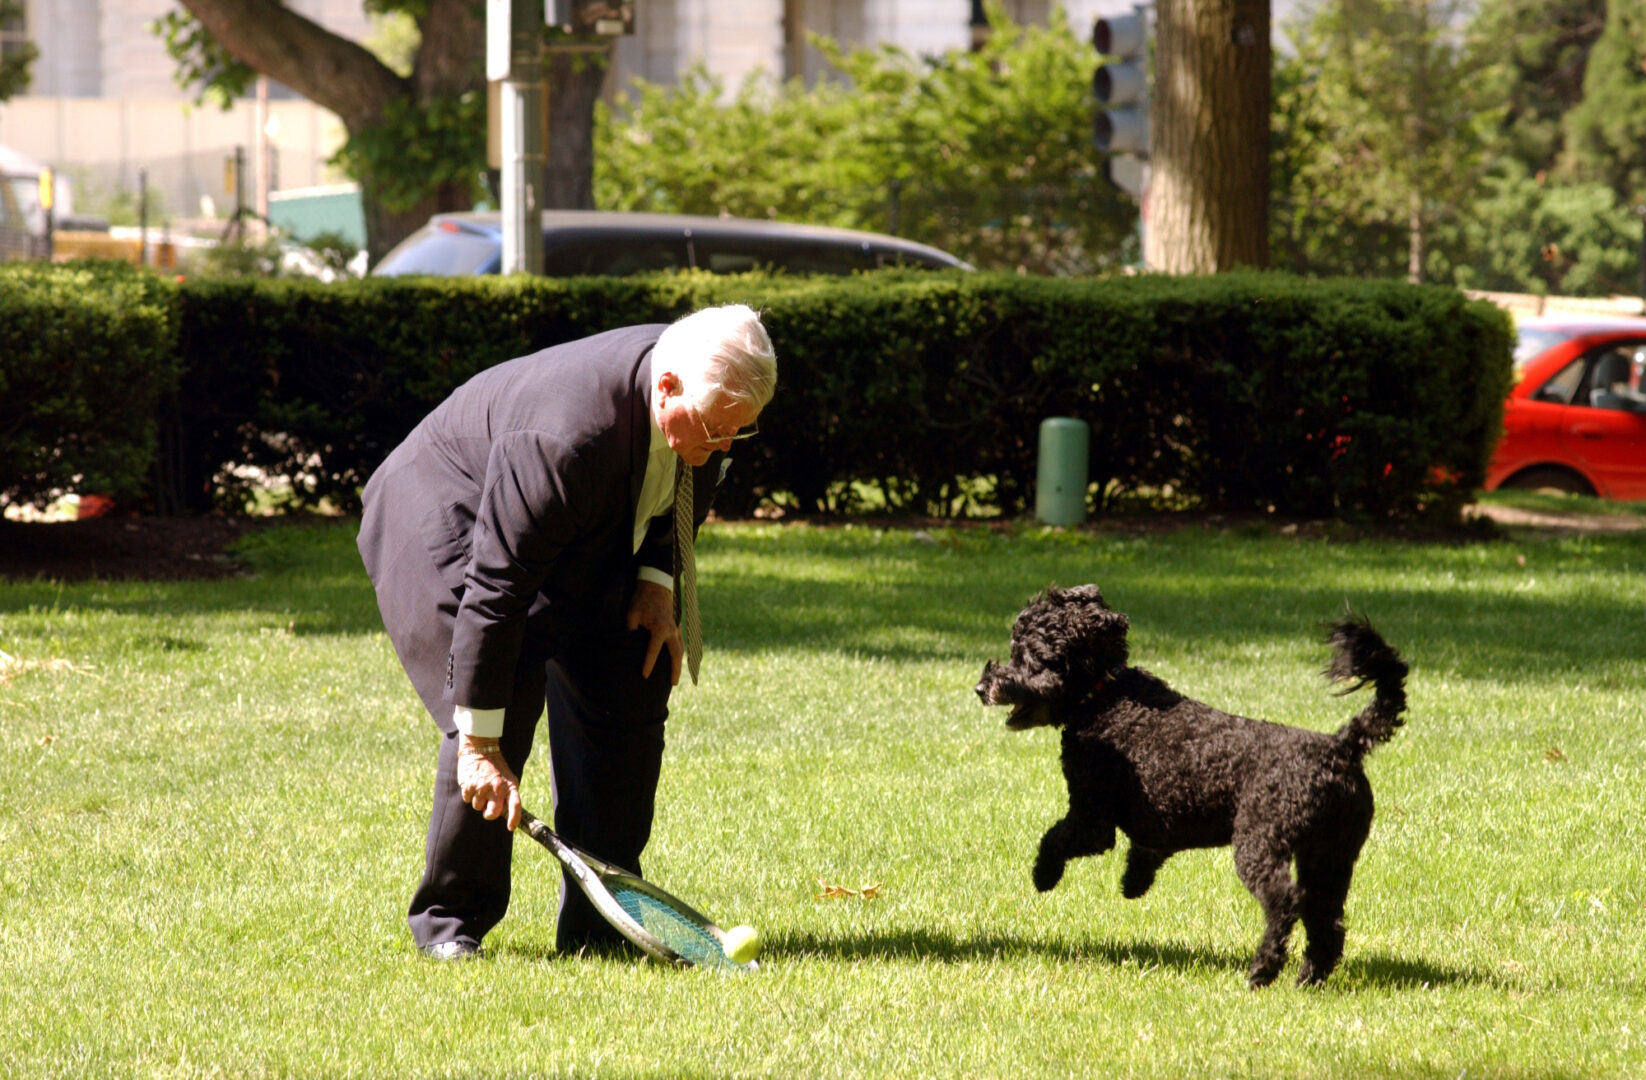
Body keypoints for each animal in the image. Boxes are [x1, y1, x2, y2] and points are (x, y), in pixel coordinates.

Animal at [967, 586, 1408, 981]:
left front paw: (1044, 875)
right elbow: (1145, 850)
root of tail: (1341, 746)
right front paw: (1134, 881)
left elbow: (1054, 838)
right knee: (1326, 921)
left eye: (1027, 656)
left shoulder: (1092, 819)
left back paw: (1262, 971)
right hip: (1331, 856)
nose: (981, 687)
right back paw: (1309, 978)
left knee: (1286, 904)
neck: (1105, 695)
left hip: (1261, 844)